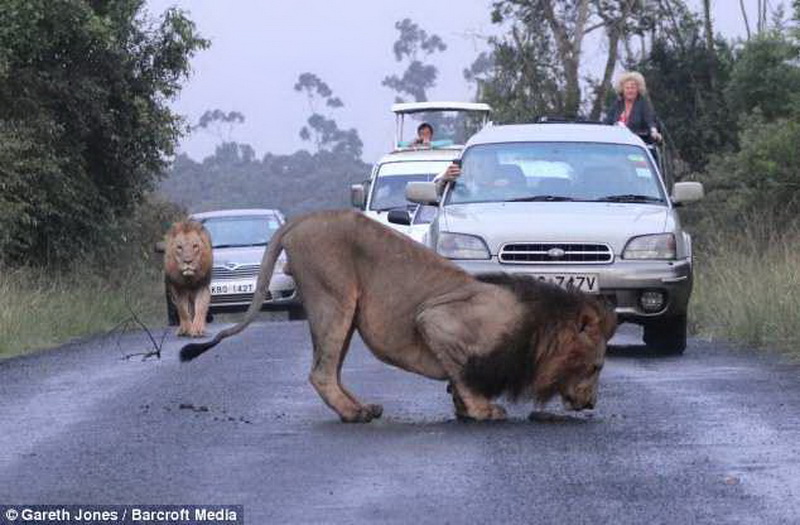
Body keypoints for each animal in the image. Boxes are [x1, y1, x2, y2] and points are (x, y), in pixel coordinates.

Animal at [183, 209, 620, 422]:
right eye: (596, 367)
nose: (592, 404)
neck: (538, 329)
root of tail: (300, 220)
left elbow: (458, 380)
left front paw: (463, 409)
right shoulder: (436, 321)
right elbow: (464, 374)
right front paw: (481, 410)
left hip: (345, 311)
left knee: (331, 370)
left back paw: (362, 408)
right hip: (334, 295)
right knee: (321, 372)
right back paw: (352, 414)